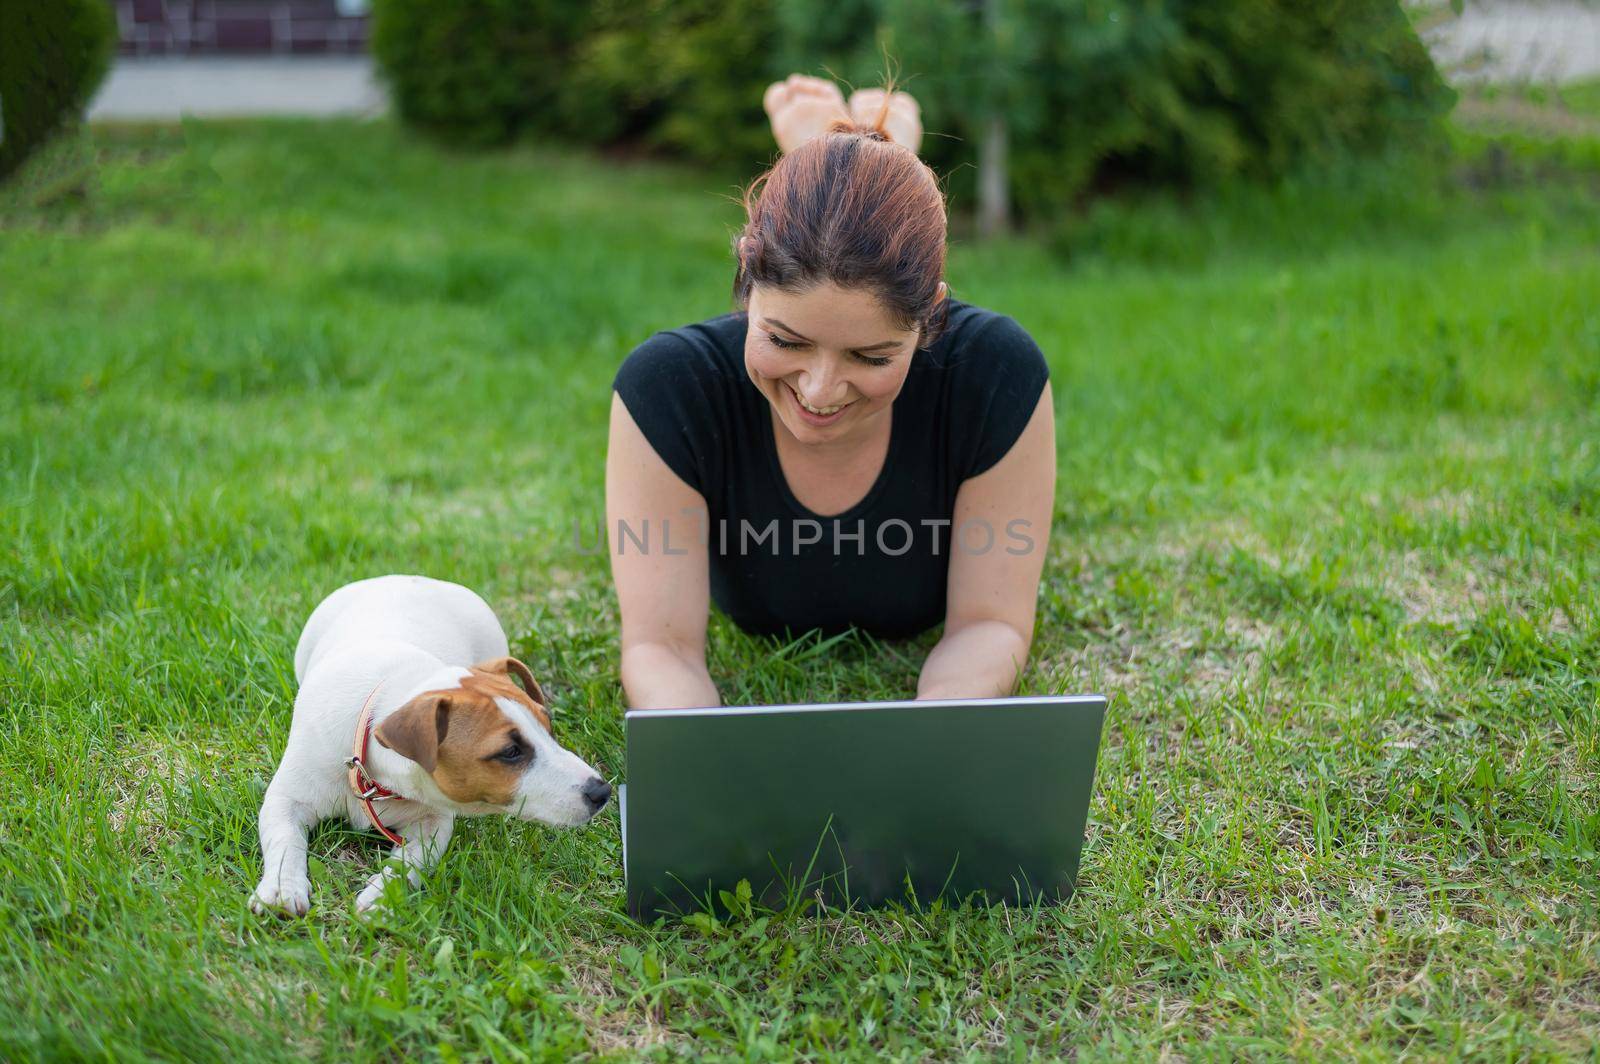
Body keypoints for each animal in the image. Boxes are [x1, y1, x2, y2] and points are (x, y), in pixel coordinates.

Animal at [252, 572, 608, 915]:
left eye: (548, 728)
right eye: (510, 752)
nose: (602, 791)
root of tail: (407, 577)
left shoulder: (433, 822)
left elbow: (413, 859)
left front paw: (384, 895)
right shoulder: (287, 799)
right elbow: (284, 840)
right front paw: (283, 888)